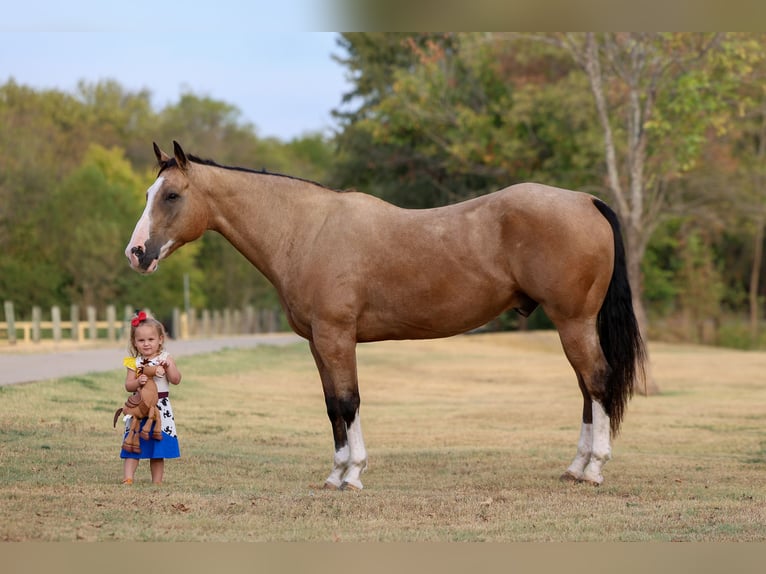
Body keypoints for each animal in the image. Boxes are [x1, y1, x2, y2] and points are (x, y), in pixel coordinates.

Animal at [125, 141, 645, 490]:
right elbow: (332, 405)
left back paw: (593, 469)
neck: (306, 231)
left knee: (597, 381)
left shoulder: (337, 337)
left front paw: (352, 475)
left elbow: (348, 402)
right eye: (150, 191)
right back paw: (575, 467)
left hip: (573, 322)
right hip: (572, 325)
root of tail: (587, 201)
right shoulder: (319, 343)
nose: (136, 253)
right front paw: (337, 473)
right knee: (586, 387)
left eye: (171, 195)